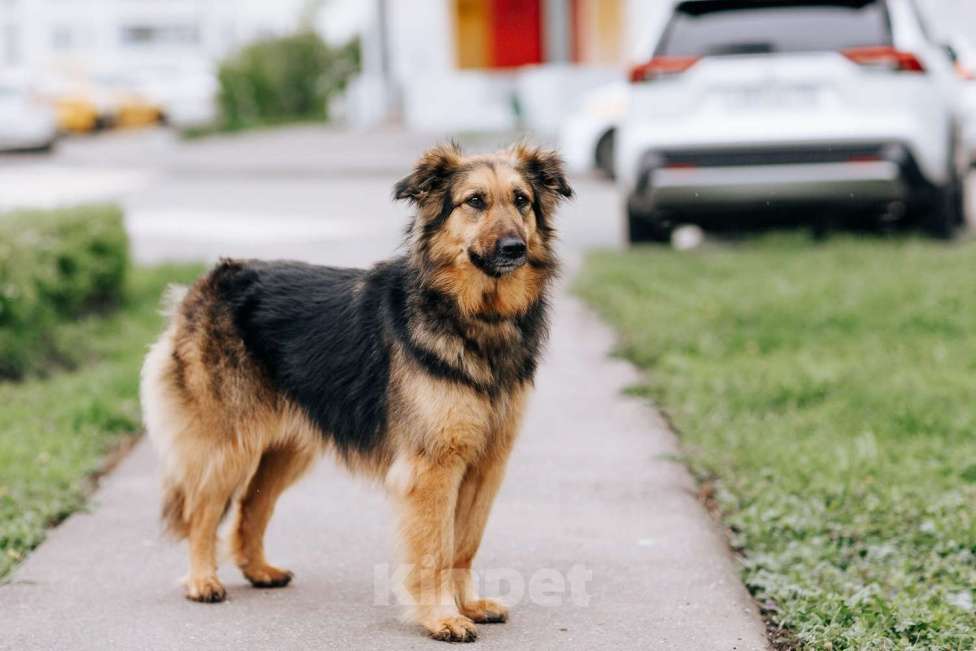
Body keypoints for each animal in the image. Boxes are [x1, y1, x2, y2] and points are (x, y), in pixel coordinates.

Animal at [137, 143, 572, 640]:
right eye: (475, 201)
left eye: (521, 200)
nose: (514, 248)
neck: (474, 316)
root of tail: (210, 279)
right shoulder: (432, 469)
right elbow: (434, 550)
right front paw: (442, 617)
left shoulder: (486, 464)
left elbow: (464, 544)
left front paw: (469, 605)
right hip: (230, 445)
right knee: (203, 513)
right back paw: (202, 580)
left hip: (287, 449)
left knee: (250, 506)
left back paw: (260, 570)